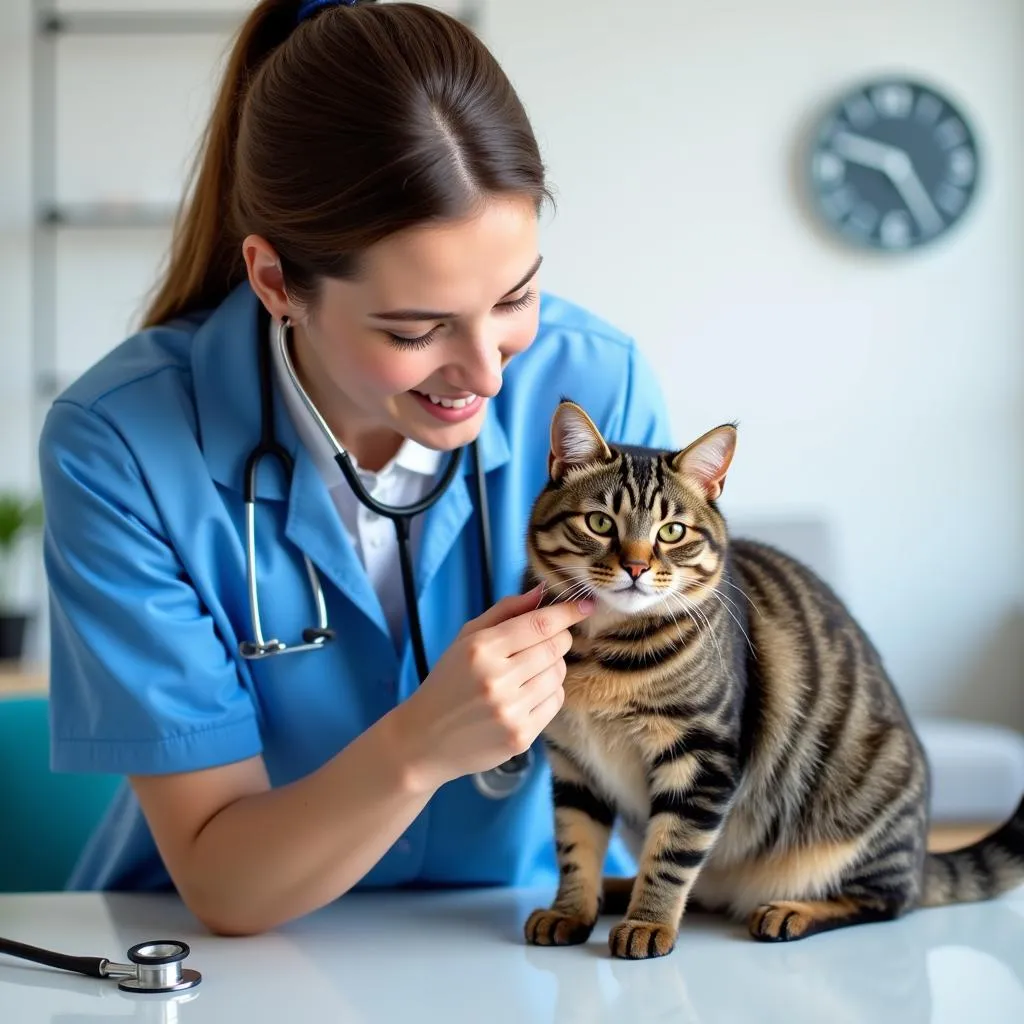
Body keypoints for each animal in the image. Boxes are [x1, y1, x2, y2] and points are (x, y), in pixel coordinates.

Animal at [520, 397, 1024, 958]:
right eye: (599, 522)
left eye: (671, 531)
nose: (635, 566)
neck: (603, 649)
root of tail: (921, 857)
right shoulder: (573, 764)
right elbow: (575, 848)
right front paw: (570, 910)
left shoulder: (703, 756)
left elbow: (671, 853)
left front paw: (649, 922)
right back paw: (616, 890)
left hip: (866, 816)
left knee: (886, 901)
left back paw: (789, 911)